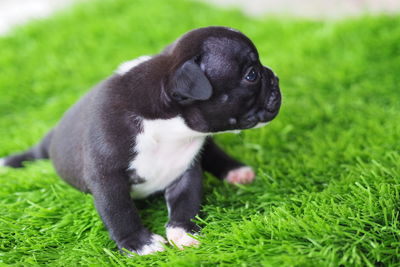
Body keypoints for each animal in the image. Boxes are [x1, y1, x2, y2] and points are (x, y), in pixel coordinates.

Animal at [0, 26, 282, 256]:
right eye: (252, 75)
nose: (275, 76)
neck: (166, 124)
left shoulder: (184, 169)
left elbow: (187, 202)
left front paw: (184, 231)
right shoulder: (107, 178)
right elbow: (120, 212)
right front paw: (139, 244)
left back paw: (236, 171)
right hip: (48, 144)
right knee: (36, 152)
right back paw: (11, 161)